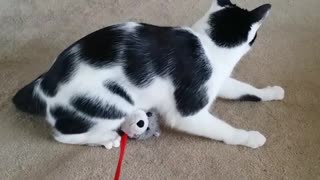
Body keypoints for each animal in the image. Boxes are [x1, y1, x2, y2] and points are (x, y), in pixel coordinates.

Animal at [11, 0, 284, 149]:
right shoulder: (188, 110)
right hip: (113, 102)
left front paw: (271, 92)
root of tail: (43, 84)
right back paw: (105, 138)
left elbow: (244, 89)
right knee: (61, 135)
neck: (207, 44)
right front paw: (249, 137)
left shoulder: (217, 81)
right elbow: (222, 129)